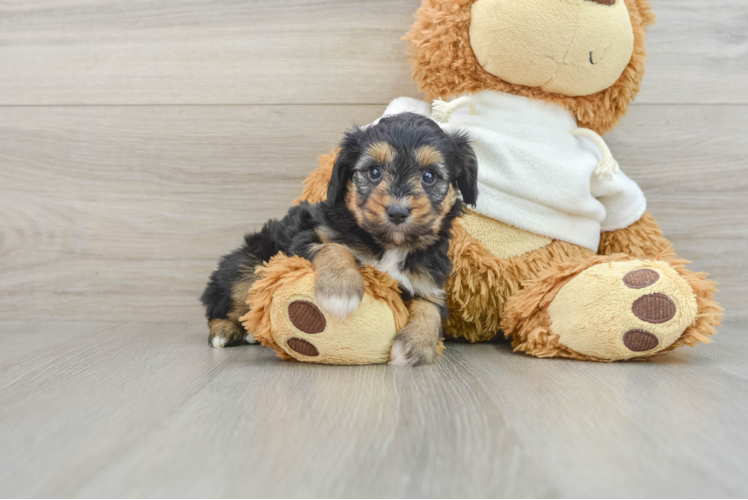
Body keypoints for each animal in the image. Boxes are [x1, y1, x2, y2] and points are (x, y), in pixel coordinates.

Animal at [200, 111, 480, 366]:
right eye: (374, 171)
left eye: (429, 176)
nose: (397, 212)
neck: (389, 244)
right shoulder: (307, 236)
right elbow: (335, 248)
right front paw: (340, 291)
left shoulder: (428, 281)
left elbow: (430, 308)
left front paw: (414, 347)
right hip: (247, 262)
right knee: (222, 305)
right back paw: (225, 332)